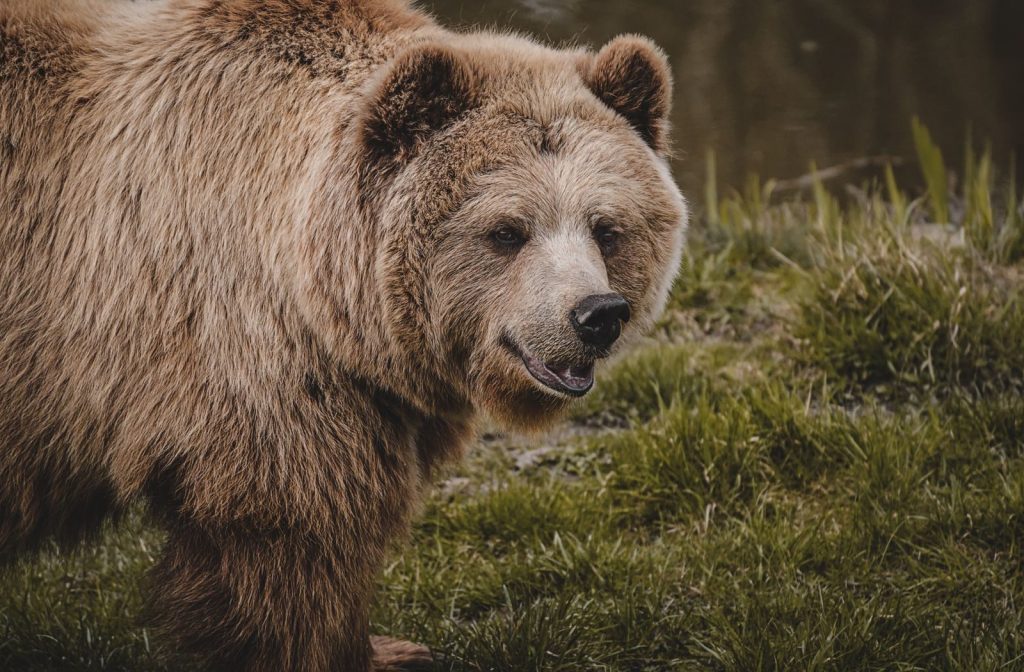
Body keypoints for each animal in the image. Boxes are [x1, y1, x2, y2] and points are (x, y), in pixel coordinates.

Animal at [0, 0, 688, 669]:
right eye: (507, 230)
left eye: (606, 227)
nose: (596, 314)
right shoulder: (252, 369)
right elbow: (294, 542)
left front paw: (391, 647)